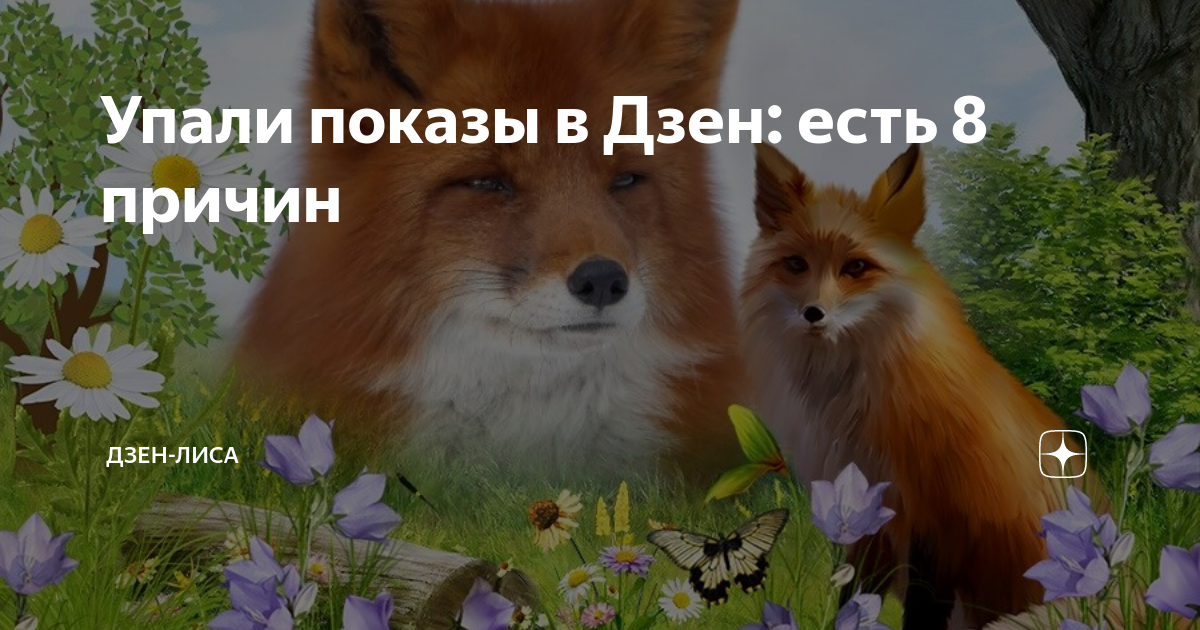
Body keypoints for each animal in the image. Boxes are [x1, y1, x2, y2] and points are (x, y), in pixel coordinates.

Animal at [740, 143, 1105, 629]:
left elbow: (922, 610)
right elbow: (853, 601)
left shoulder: (943, 524)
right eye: (796, 264)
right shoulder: (867, 521)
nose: (813, 314)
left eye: (856, 267)